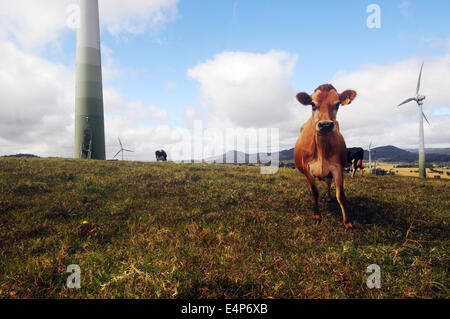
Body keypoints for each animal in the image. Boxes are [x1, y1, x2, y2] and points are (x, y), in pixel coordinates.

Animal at [294, 85, 356, 230]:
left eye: (337, 104)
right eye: (312, 104)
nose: (326, 125)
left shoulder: (338, 167)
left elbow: (341, 195)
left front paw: (347, 221)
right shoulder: (307, 168)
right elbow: (315, 192)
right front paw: (317, 216)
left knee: (328, 182)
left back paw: (328, 197)